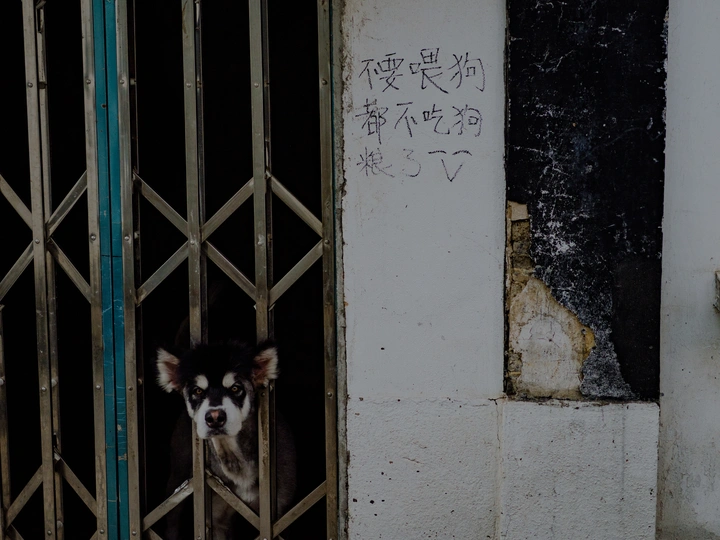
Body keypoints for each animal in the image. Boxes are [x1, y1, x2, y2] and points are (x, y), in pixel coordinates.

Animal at [156, 340, 297, 539]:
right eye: (197, 391)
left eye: (236, 388)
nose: (215, 417)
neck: (236, 460)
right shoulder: (217, 519)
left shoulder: (278, 513)